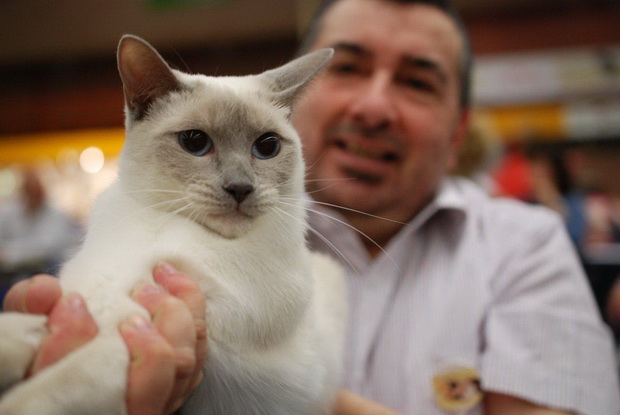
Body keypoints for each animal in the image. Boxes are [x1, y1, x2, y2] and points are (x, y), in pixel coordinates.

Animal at [0, 35, 346, 415]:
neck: (163, 225)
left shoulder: (138, 329)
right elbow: (33, 326)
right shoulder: (88, 293)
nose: (240, 188)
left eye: (267, 147)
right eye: (195, 142)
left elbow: (55, 385)